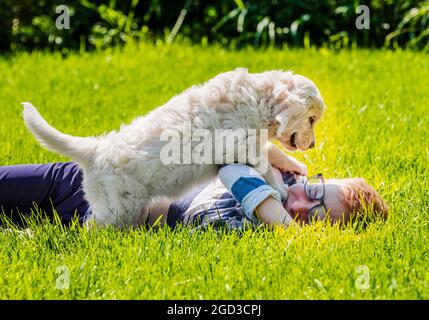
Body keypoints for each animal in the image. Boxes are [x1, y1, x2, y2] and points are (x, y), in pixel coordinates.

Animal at [22, 68, 324, 228]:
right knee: (91, 228)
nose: (313, 144)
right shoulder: (241, 144)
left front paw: (294, 166)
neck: (259, 97)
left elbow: (271, 152)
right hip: (116, 209)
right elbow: (264, 165)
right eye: (311, 119)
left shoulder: (249, 143)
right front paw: (281, 187)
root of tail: (95, 150)